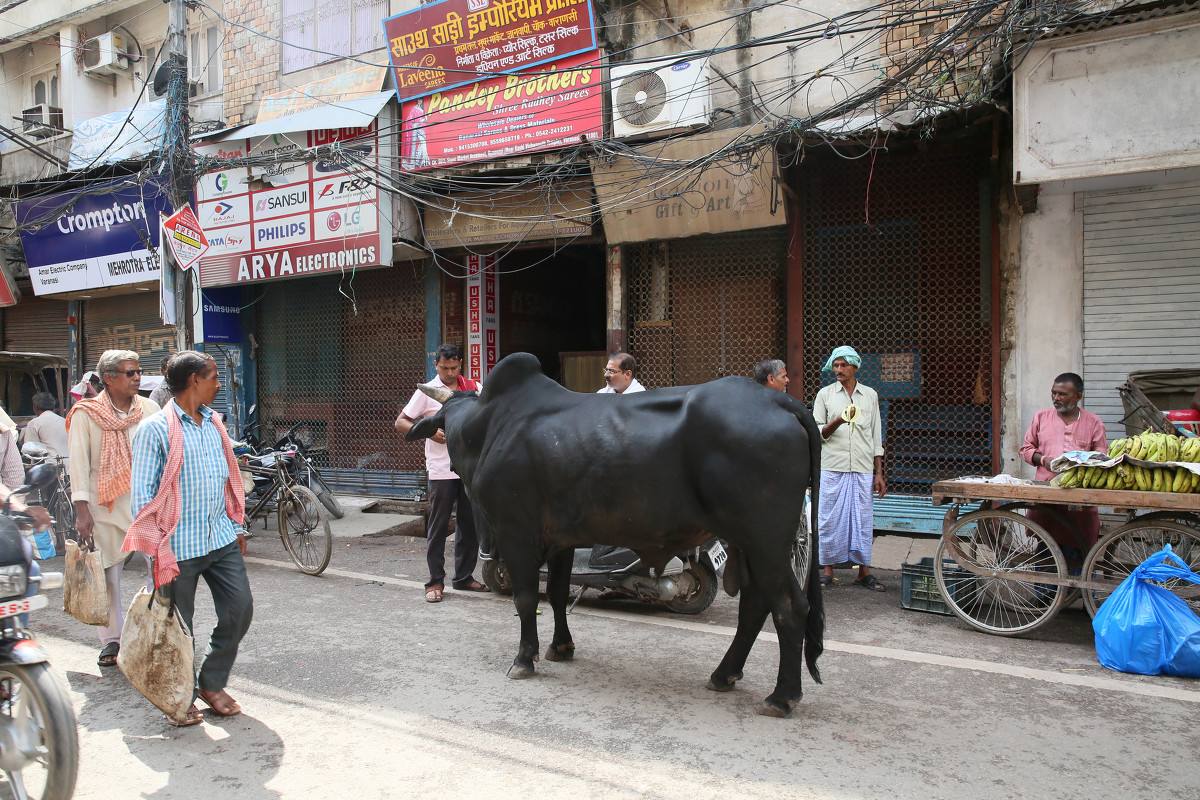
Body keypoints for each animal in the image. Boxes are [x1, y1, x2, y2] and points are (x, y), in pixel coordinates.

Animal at [405, 352, 825, 714]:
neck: (488, 427)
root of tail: (781, 402)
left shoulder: (516, 533)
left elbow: (525, 599)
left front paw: (525, 658)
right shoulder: (560, 540)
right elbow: (557, 593)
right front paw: (562, 647)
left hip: (766, 540)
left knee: (789, 607)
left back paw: (782, 696)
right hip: (747, 543)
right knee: (756, 604)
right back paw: (725, 674)